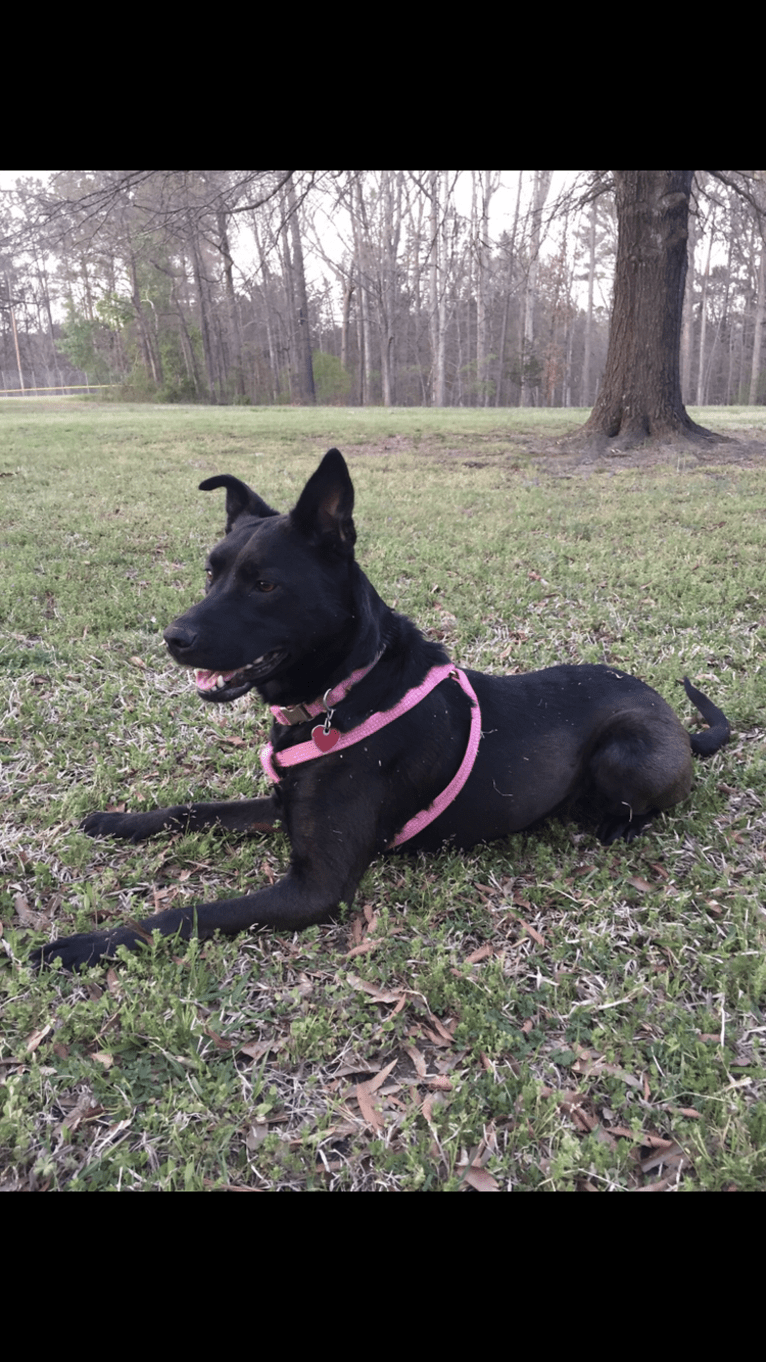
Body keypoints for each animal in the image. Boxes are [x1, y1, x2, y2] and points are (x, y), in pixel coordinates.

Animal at [34, 449, 725, 969]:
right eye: (211, 573)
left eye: (265, 584)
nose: (173, 638)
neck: (341, 693)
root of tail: (675, 720)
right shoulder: (281, 808)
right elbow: (191, 810)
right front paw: (120, 822)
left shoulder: (315, 887)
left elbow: (184, 914)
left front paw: (84, 944)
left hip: (626, 750)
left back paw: (609, 824)